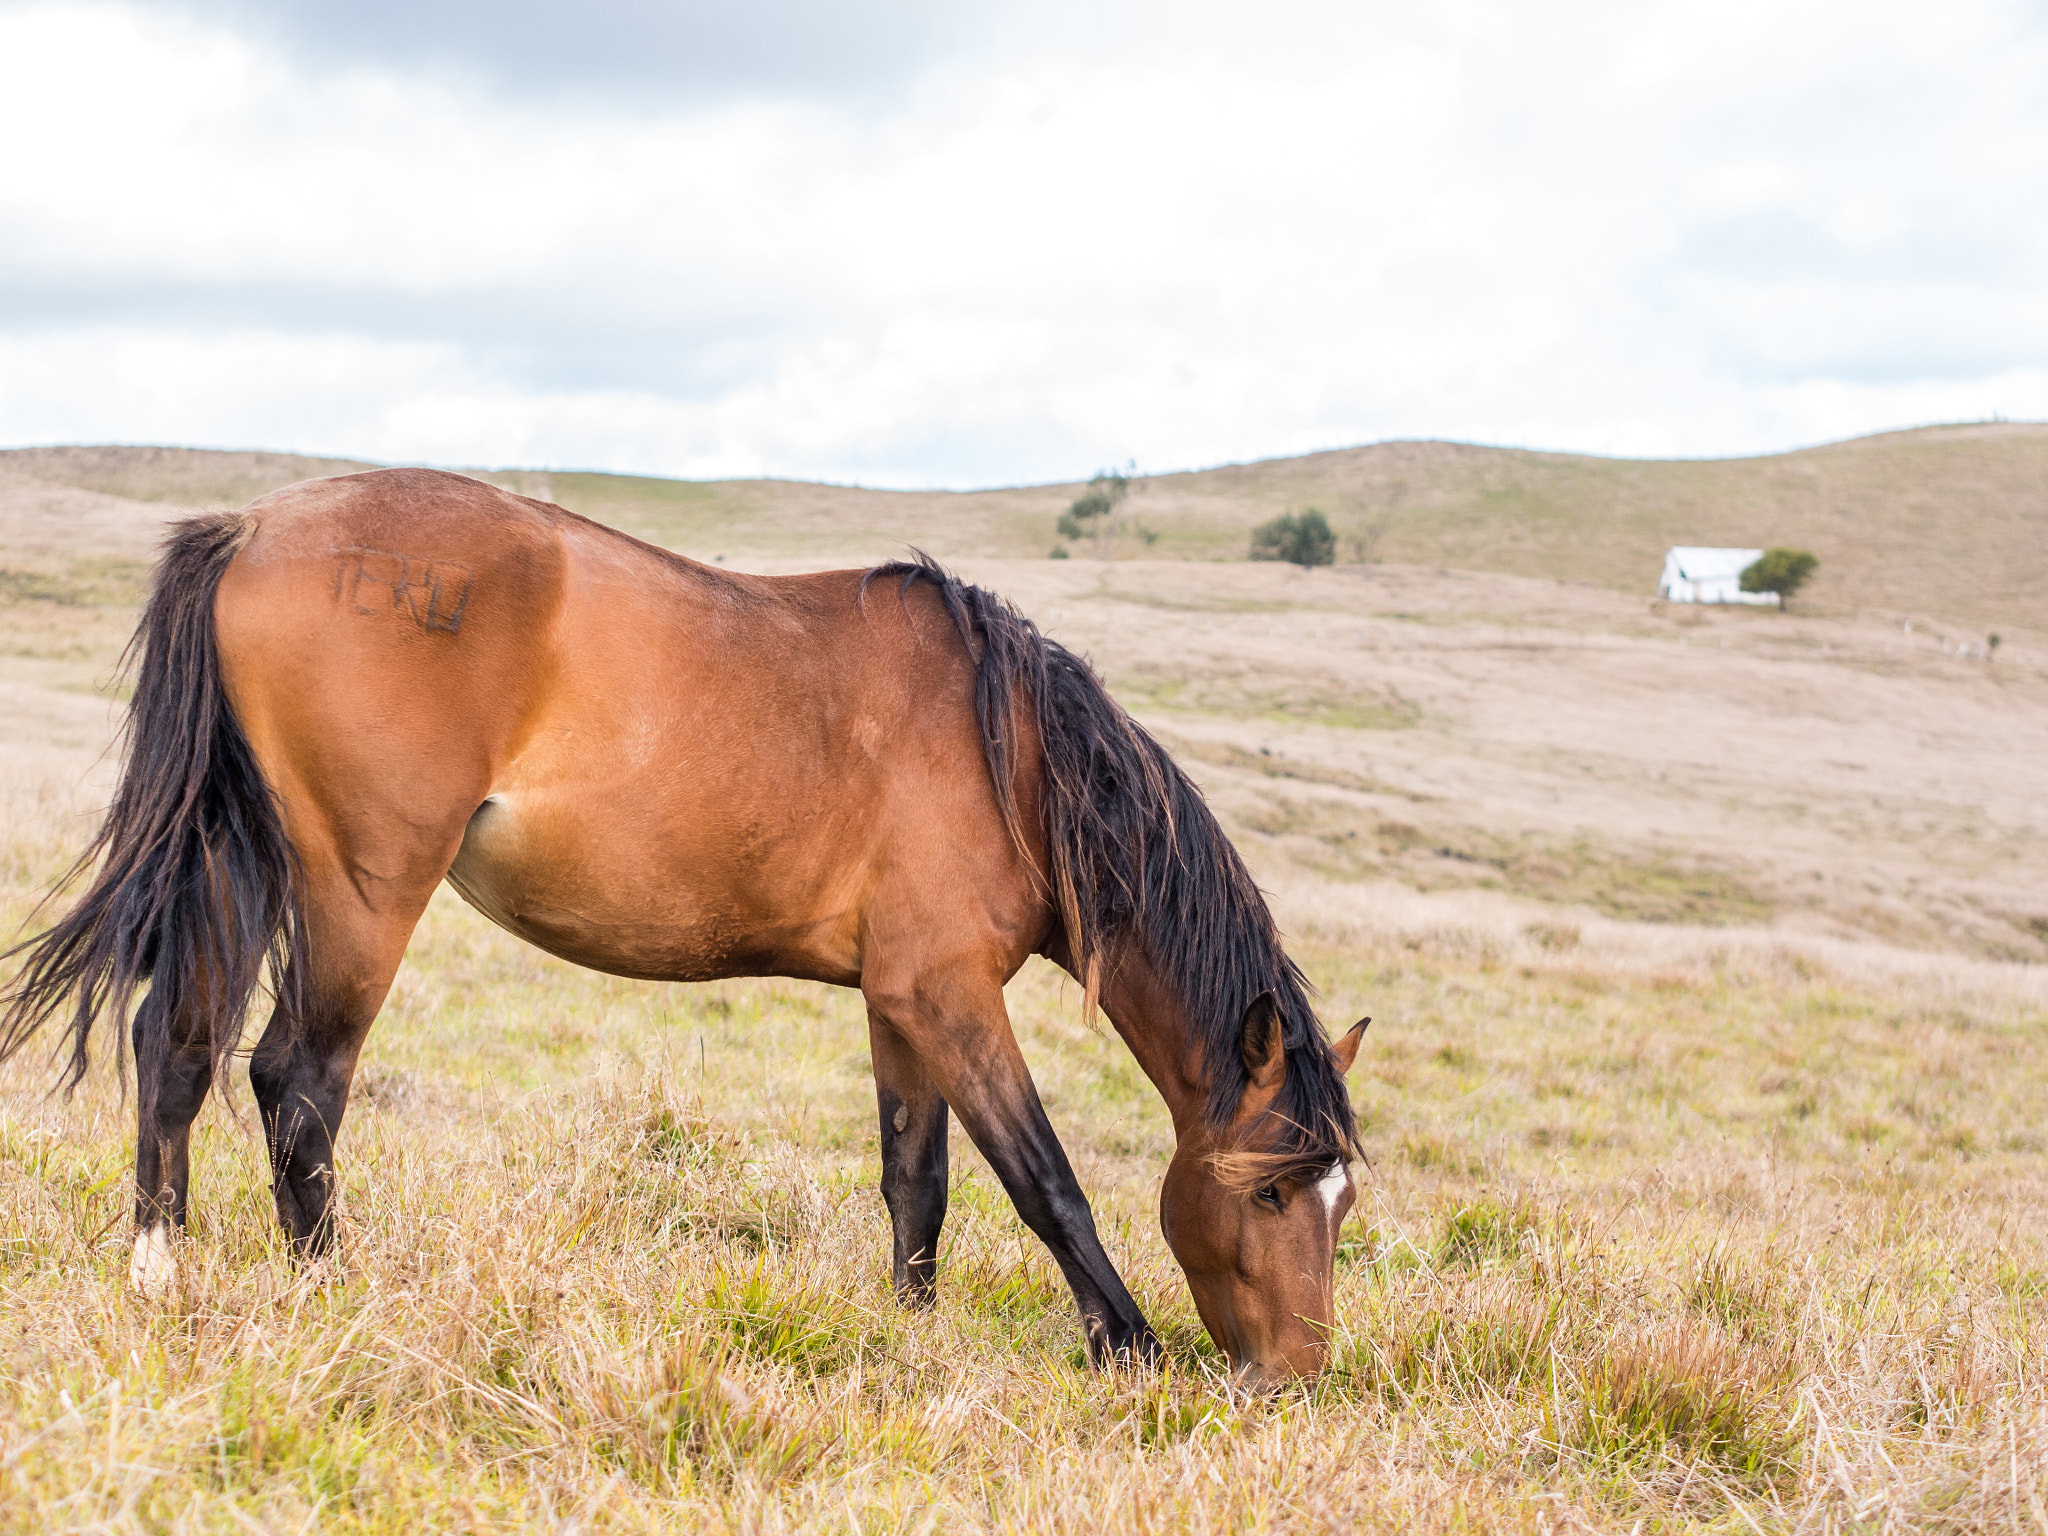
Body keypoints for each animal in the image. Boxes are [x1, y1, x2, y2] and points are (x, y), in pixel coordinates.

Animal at [8, 466, 1376, 1384]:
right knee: (295, 1079)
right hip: (360, 889)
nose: (1292, 1381)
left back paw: (161, 1272)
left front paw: (910, 1337)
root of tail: (252, 530)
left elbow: (917, 1182)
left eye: (1341, 1204)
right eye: (1267, 1193)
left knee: (175, 1047)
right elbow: (1044, 1178)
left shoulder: (900, 1003)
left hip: (237, 857)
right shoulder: (949, 995)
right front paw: (1128, 1345)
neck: (1011, 759)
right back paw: (328, 1288)